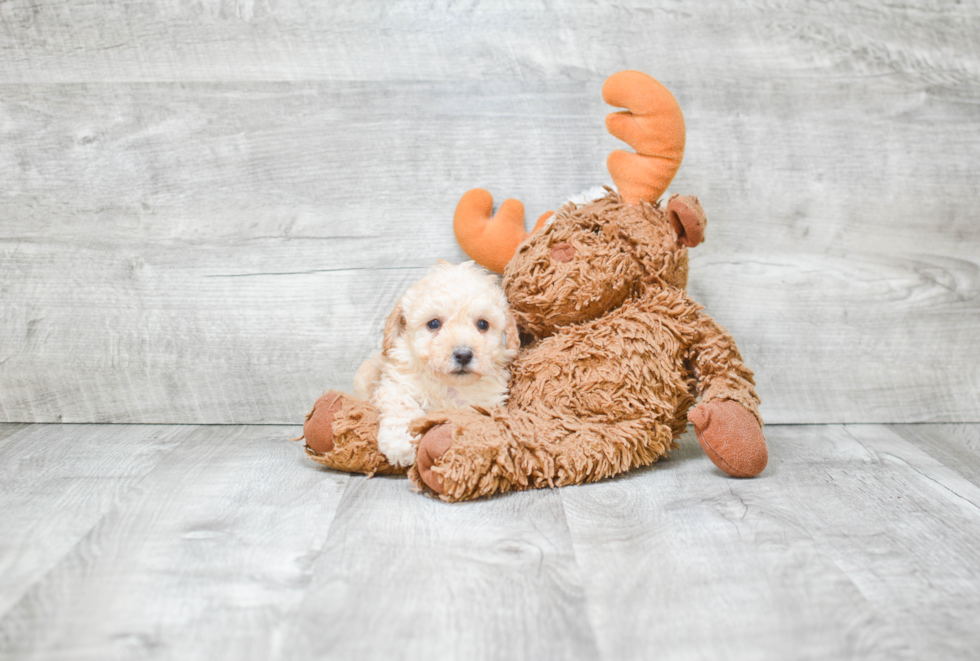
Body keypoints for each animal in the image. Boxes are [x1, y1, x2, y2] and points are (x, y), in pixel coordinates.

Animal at [352, 260, 520, 466]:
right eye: (433, 324)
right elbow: (404, 405)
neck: (449, 386)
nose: (463, 354)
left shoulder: (487, 403)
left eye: (483, 324)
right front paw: (400, 443)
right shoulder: (396, 385)